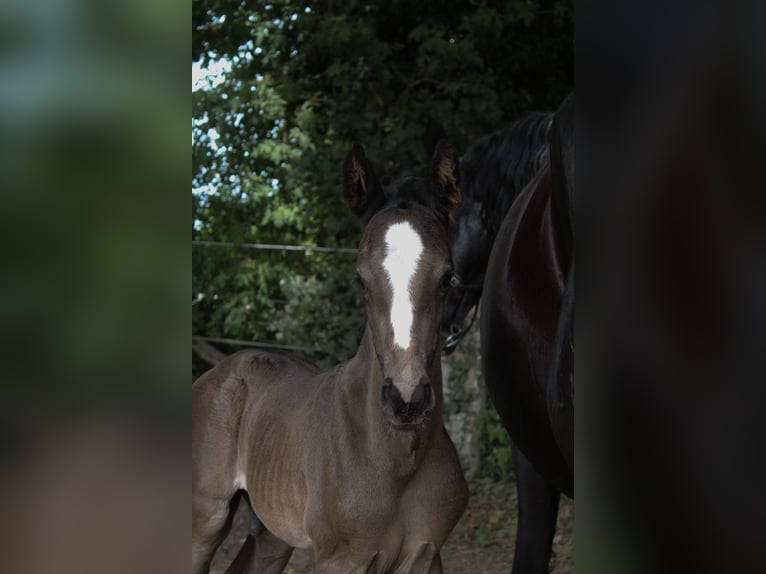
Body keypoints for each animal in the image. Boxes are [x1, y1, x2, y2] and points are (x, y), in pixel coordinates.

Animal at [191, 141, 469, 574]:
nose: (406, 400)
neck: (397, 460)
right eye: (360, 278)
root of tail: (220, 371)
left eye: (447, 277)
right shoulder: (341, 560)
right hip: (205, 518)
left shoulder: (426, 555)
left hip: (271, 533)